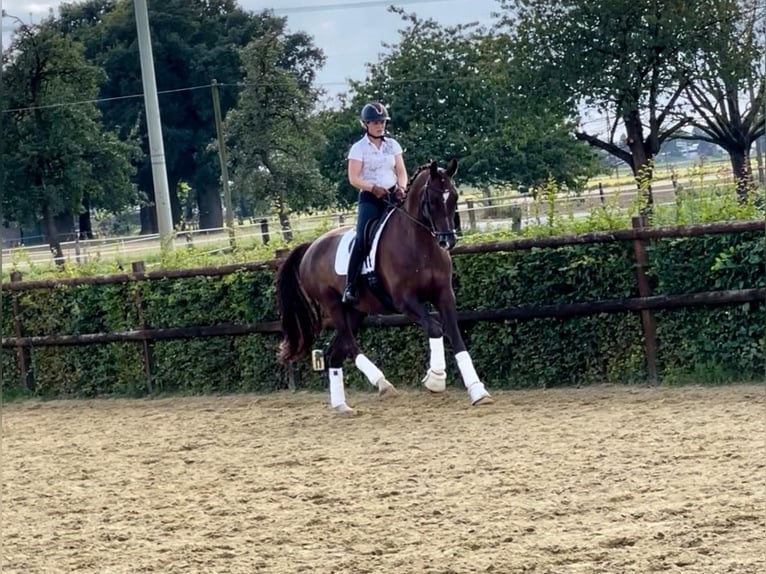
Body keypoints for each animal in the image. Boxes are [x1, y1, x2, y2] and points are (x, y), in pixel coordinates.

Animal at [272, 159, 496, 414]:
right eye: (432, 200)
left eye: (455, 197)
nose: (447, 240)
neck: (420, 246)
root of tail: (311, 247)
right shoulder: (405, 301)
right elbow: (435, 328)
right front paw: (435, 379)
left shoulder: (444, 296)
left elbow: (456, 338)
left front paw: (478, 392)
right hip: (333, 304)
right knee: (349, 343)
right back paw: (382, 383)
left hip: (356, 311)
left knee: (334, 353)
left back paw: (342, 406)